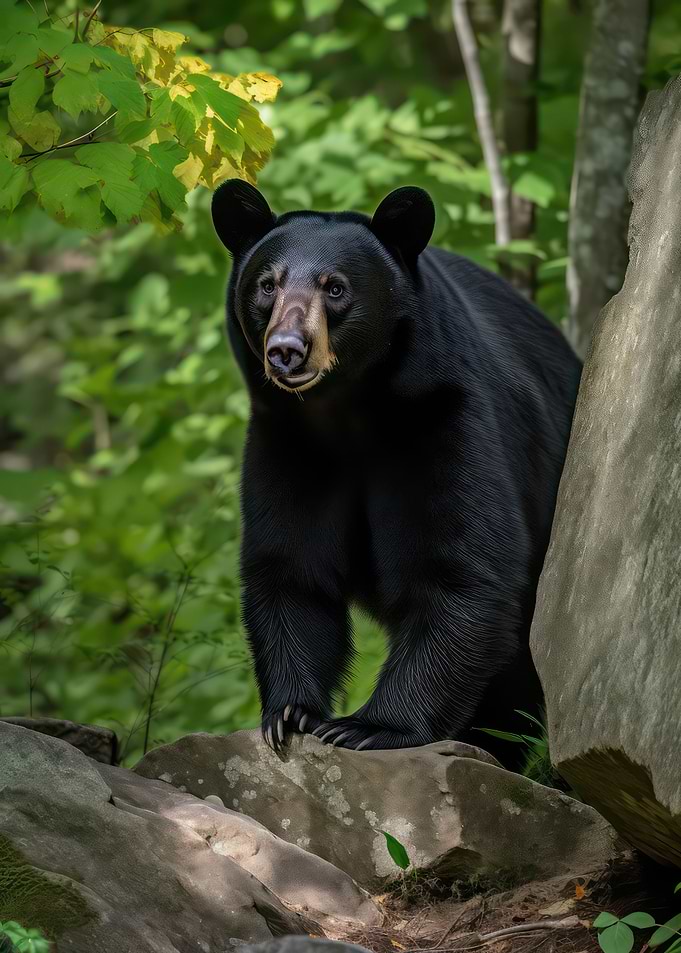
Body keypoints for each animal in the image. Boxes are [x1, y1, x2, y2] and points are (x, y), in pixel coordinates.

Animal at [211, 179, 582, 764]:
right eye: (267, 284)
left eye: (335, 287)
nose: (287, 352)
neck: (348, 410)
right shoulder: (288, 440)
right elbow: (290, 566)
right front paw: (290, 715)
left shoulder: (440, 415)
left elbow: (458, 569)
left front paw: (368, 726)